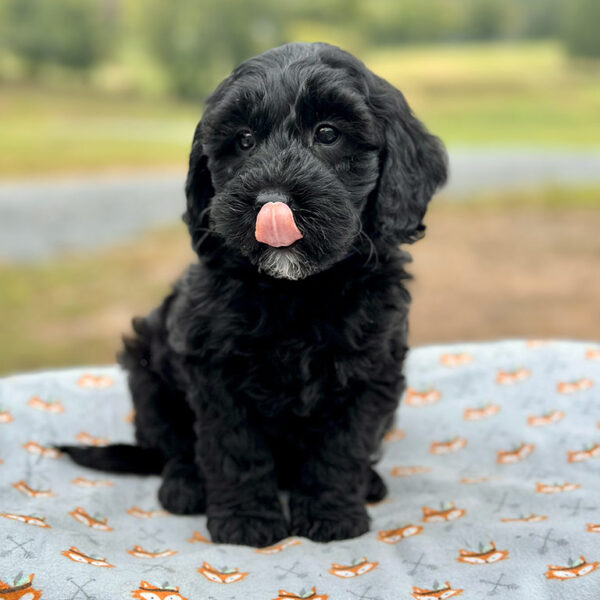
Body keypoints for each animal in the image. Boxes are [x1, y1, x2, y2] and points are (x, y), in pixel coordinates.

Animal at [59, 42, 446, 548]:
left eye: (328, 133)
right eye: (243, 141)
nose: (271, 199)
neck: (296, 291)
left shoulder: (370, 370)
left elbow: (343, 446)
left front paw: (331, 513)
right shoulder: (214, 368)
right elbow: (234, 446)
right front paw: (247, 521)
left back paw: (371, 483)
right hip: (147, 366)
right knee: (170, 442)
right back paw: (185, 486)